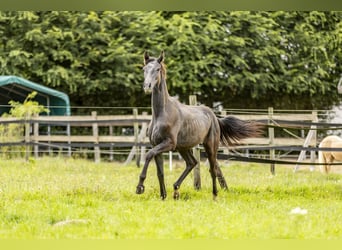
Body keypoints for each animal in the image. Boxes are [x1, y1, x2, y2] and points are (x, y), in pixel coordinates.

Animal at [136, 50, 262, 199]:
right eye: (144, 69)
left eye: (158, 69)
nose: (147, 87)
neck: (162, 113)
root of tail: (214, 116)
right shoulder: (156, 145)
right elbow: (159, 172)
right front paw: (163, 196)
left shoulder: (169, 143)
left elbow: (148, 155)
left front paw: (140, 187)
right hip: (183, 147)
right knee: (192, 163)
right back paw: (176, 189)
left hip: (210, 146)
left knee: (212, 169)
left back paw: (214, 195)